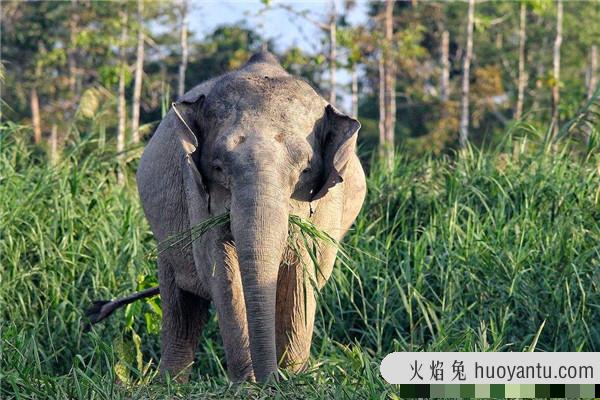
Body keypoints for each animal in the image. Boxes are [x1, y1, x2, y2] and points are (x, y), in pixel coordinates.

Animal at [136, 51, 366, 382]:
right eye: (218, 167)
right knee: (180, 303)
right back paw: (168, 384)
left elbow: (301, 275)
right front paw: (248, 385)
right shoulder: (198, 196)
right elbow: (221, 271)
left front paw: (293, 380)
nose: (271, 381)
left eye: (305, 170)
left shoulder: (324, 208)